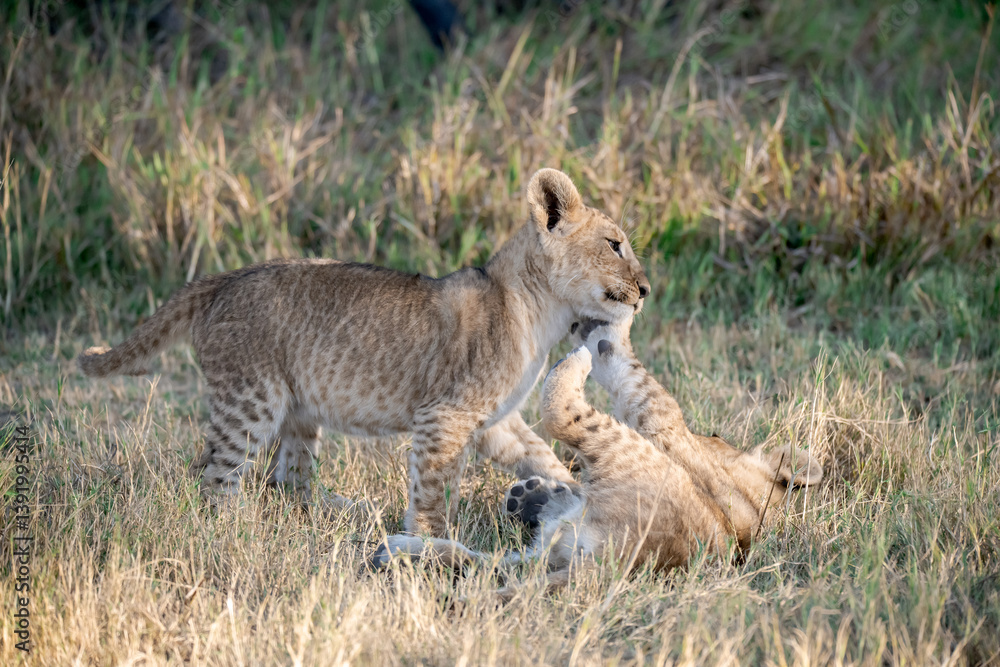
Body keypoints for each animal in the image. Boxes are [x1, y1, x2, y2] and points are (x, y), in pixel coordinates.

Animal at [77, 168, 650, 536]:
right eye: (614, 244)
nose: (646, 289)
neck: (539, 310)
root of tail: (223, 278)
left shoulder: (493, 421)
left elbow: (539, 453)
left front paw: (570, 490)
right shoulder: (444, 415)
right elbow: (433, 487)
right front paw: (428, 544)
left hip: (298, 411)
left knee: (289, 481)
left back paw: (332, 513)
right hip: (251, 400)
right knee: (214, 476)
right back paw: (232, 532)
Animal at [370, 318, 823, 597]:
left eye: (713, 435)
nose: (708, 433)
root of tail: (612, 565)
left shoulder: (668, 432)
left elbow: (645, 390)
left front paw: (606, 338)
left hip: (621, 453)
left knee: (563, 415)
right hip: (543, 555)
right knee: (485, 563)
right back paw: (398, 549)